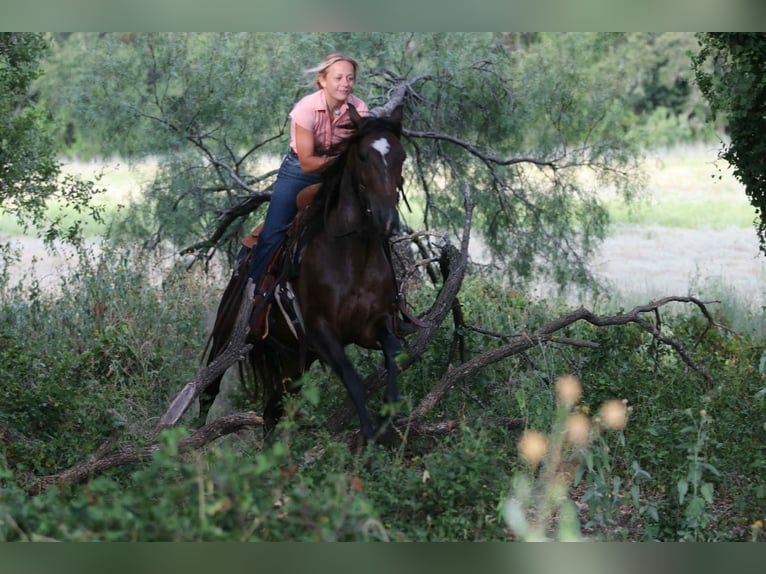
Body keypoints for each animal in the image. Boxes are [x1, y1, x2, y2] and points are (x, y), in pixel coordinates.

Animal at [199, 104, 412, 443]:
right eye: (363, 157)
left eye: (401, 156)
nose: (387, 220)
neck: (352, 254)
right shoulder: (322, 332)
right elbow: (353, 380)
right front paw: (369, 440)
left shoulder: (369, 328)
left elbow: (394, 352)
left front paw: (386, 418)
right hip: (226, 339)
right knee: (208, 391)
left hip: (295, 362)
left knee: (273, 410)